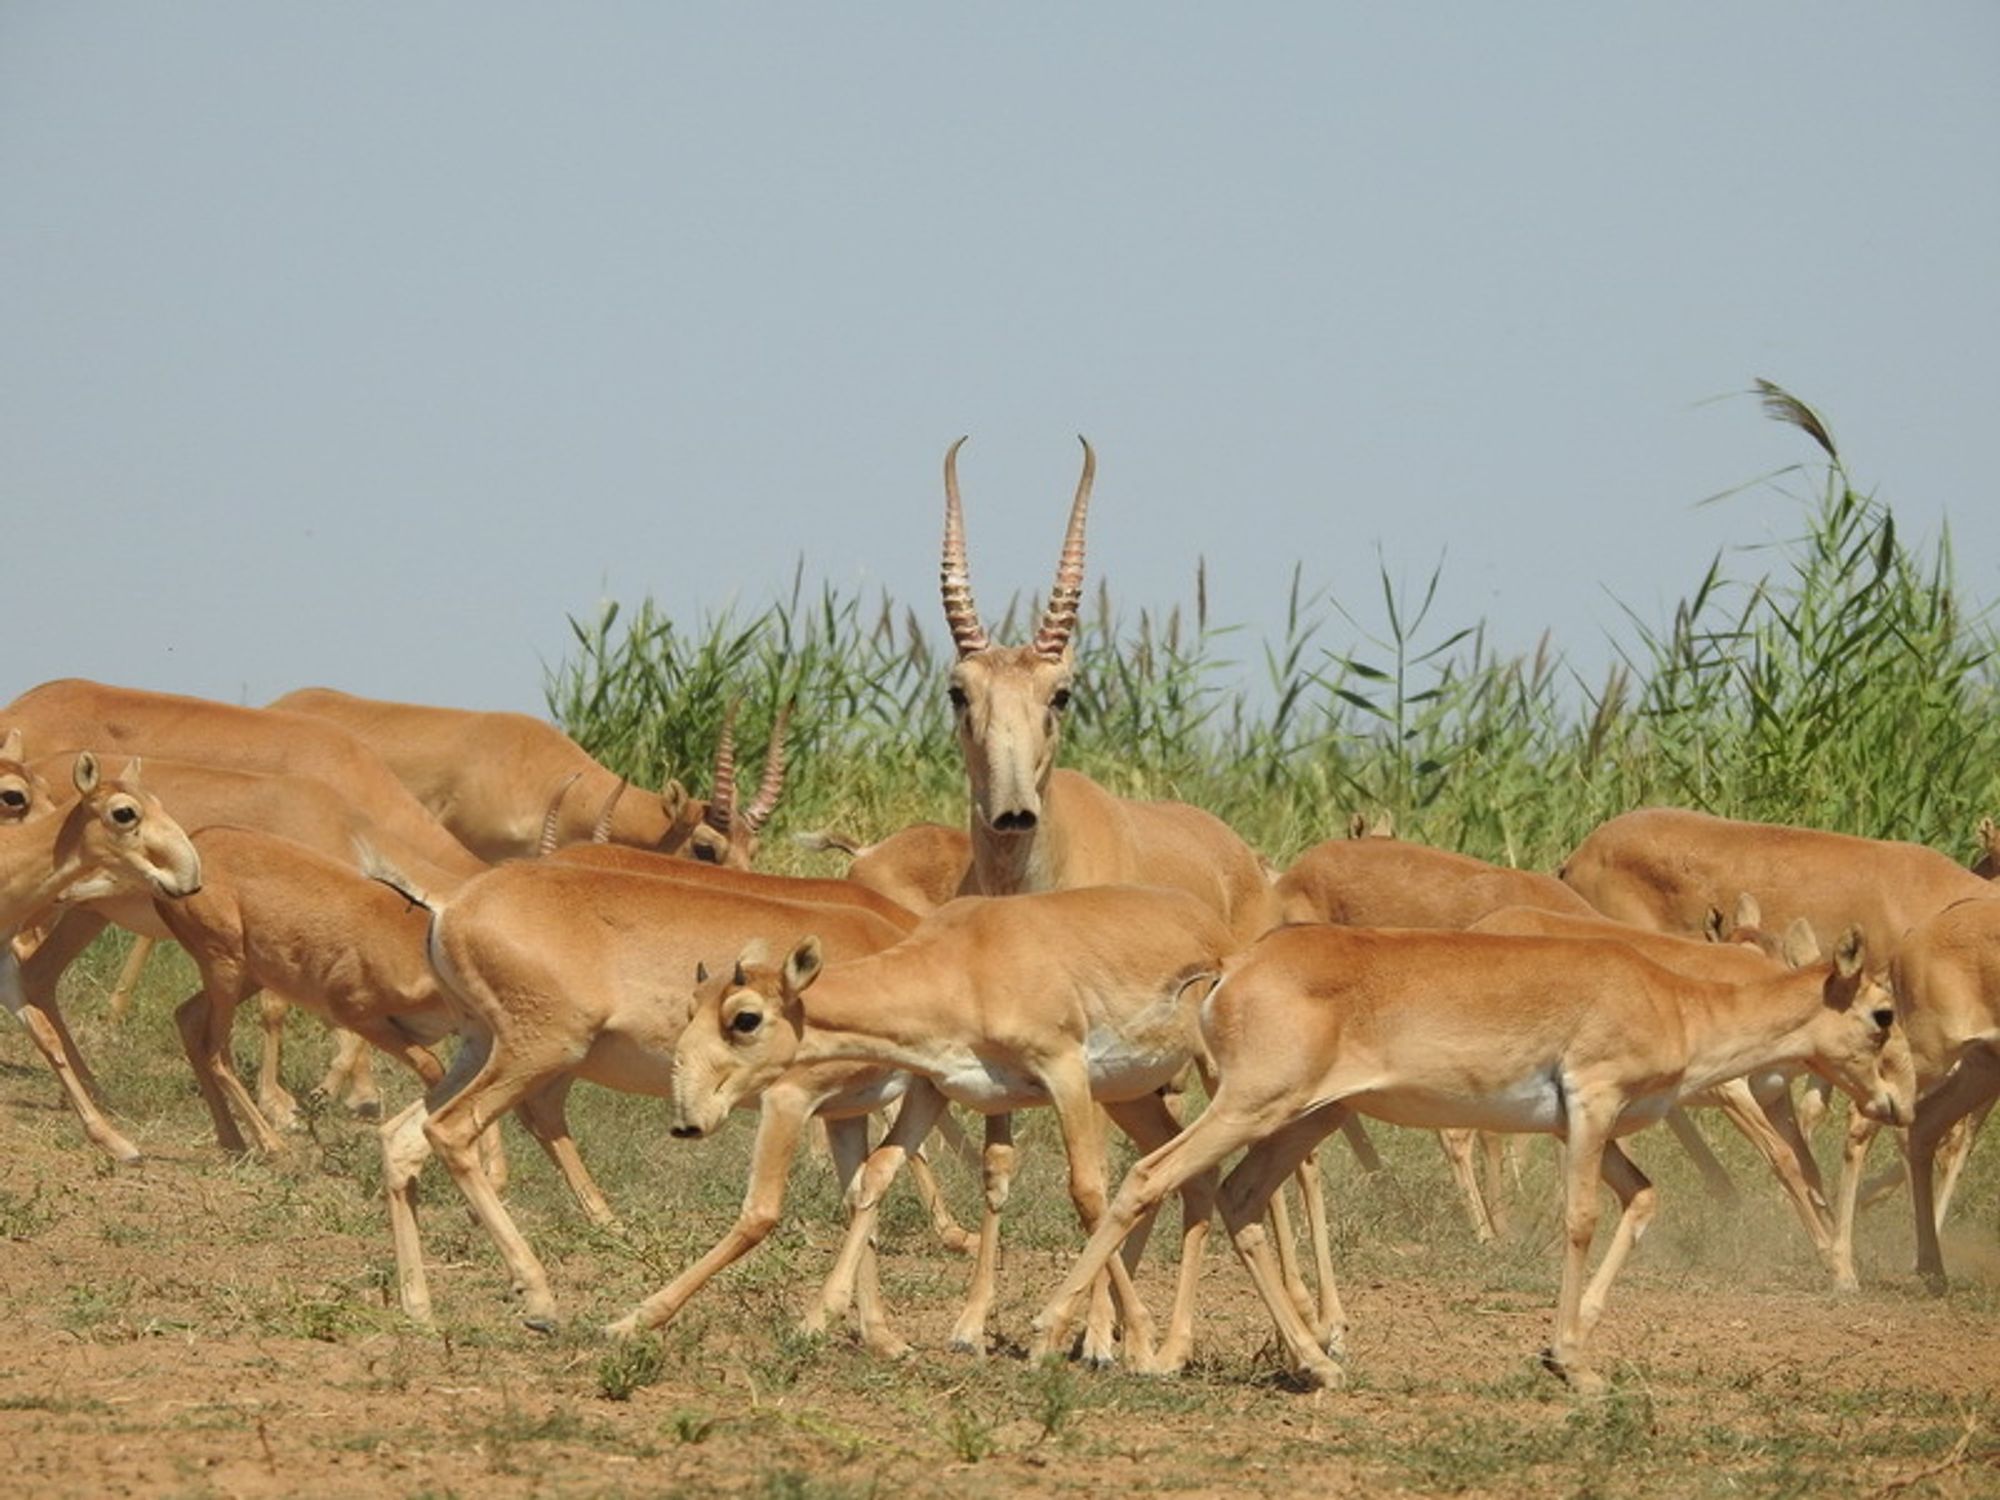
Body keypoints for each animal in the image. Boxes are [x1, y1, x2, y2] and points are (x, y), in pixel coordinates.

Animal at [660, 892, 1232, 1376]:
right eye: (690, 1009)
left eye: (745, 1018)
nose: (687, 1118)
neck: (966, 961)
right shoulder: (933, 1088)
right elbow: (876, 1176)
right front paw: (817, 1320)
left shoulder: (1064, 1071)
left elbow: (1088, 1194)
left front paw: (1135, 1339)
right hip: (1131, 1096)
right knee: (1190, 1174)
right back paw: (1169, 1347)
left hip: (1214, 1078)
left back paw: (1156, 1348)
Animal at [1024, 928, 1912, 1400]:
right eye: (1882, 1013)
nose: (1895, 1105)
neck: (1678, 1001)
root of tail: (1234, 966)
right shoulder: (1592, 1106)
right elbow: (1581, 1220)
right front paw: (1573, 1365)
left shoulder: (1590, 1130)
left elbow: (1644, 1198)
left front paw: (1568, 1347)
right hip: (1253, 1106)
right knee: (1152, 1177)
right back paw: (1049, 1335)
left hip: (1304, 1119)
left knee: (1238, 1199)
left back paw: (1318, 1361)